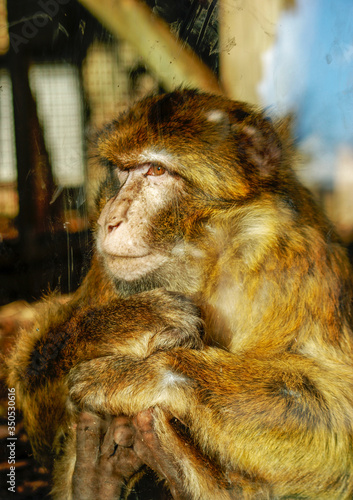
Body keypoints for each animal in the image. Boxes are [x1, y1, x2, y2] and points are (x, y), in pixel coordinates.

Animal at [6, 91, 353, 500]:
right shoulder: (108, 270)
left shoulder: (288, 257)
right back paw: (96, 478)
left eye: (156, 171)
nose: (110, 220)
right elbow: (31, 396)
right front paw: (132, 322)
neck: (205, 260)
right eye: (122, 171)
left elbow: (337, 411)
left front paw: (139, 374)